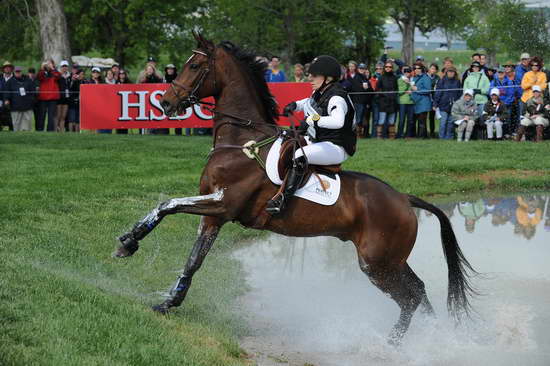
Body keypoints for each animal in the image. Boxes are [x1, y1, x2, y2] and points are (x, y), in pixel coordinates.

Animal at [116, 32, 478, 346]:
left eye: (194, 66)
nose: (164, 103)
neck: (241, 142)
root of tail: (404, 199)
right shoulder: (214, 215)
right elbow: (193, 258)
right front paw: (168, 301)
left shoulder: (223, 204)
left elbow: (169, 204)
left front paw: (129, 241)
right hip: (391, 260)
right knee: (419, 292)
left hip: (378, 263)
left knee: (411, 297)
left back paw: (395, 343)